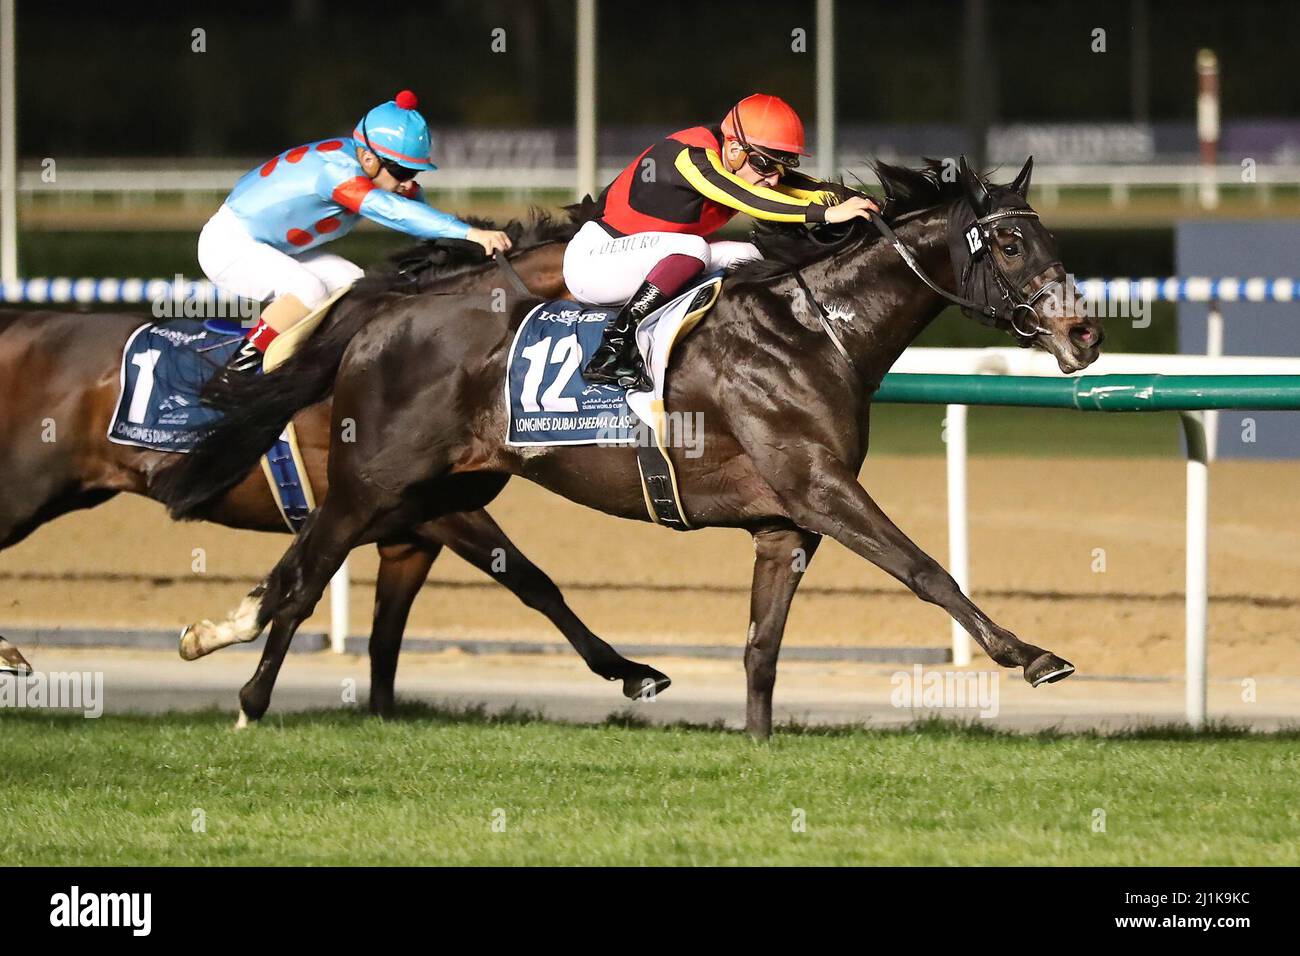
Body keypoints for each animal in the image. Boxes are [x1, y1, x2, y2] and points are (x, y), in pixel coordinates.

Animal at [0, 213, 670, 712]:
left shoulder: (407, 532)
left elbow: (384, 632)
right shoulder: (419, 509)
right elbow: (532, 580)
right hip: (28, 486)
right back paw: (9, 652)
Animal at [157, 158, 1102, 738]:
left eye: (1049, 238)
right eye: (1010, 241)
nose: (1086, 334)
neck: (814, 329)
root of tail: (385, 314)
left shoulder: (785, 521)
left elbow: (762, 646)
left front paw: (759, 743)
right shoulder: (819, 485)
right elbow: (924, 568)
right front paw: (1033, 656)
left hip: (444, 491)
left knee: (352, 574)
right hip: (373, 479)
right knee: (305, 573)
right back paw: (243, 688)